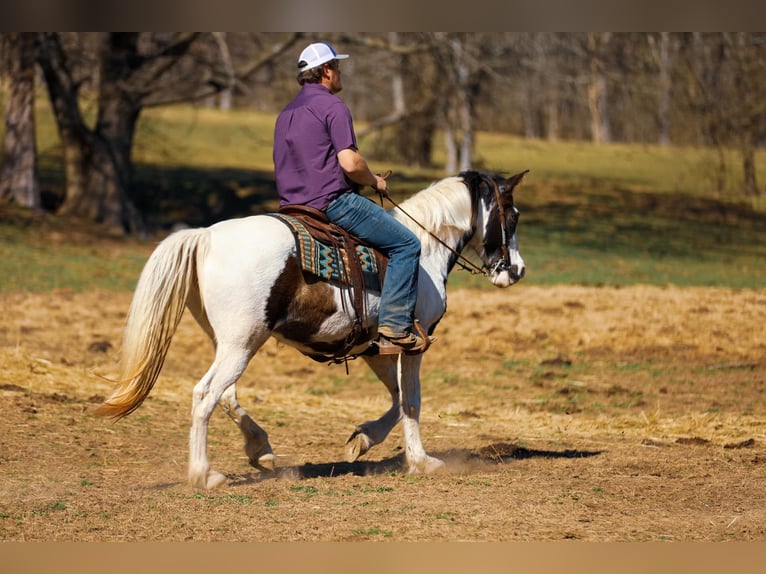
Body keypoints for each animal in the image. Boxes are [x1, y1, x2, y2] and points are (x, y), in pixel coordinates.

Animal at [96, 169, 528, 489]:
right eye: (513, 215)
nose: (517, 271)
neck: (425, 249)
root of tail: (206, 236)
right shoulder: (413, 345)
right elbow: (412, 401)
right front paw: (421, 461)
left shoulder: (376, 348)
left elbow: (395, 399)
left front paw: (362, 440)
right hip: (241, 343)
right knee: (205, 395)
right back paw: (206, 474)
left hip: (232, 343)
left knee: (226, 394)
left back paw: (261, 449)